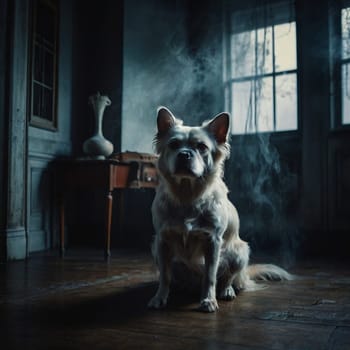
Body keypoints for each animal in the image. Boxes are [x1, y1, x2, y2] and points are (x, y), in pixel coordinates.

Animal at [148, 106, 292, 312]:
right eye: (173, 144)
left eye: (202, 147)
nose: (184, 154)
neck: (187, 195)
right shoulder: (162, 240)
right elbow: (165, 276)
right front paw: (160, 297)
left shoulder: (213, 242)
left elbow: (210, 276)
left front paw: (209, 300)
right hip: (156, 249)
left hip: (239, 253)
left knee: (227, 278)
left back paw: (227, 290)